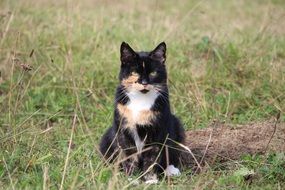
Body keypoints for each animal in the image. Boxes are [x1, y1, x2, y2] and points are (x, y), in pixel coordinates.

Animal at [99, 41, 184, 184]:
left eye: (153, 73)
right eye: (134, 72)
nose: (144, 83)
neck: (140, 100)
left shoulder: (157, 130)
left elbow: (152, 156)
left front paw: (150, 180)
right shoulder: (123, 129)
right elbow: (129, 155)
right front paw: (131, 178)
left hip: (177, 126)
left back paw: (171, 170)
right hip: (107, 137)